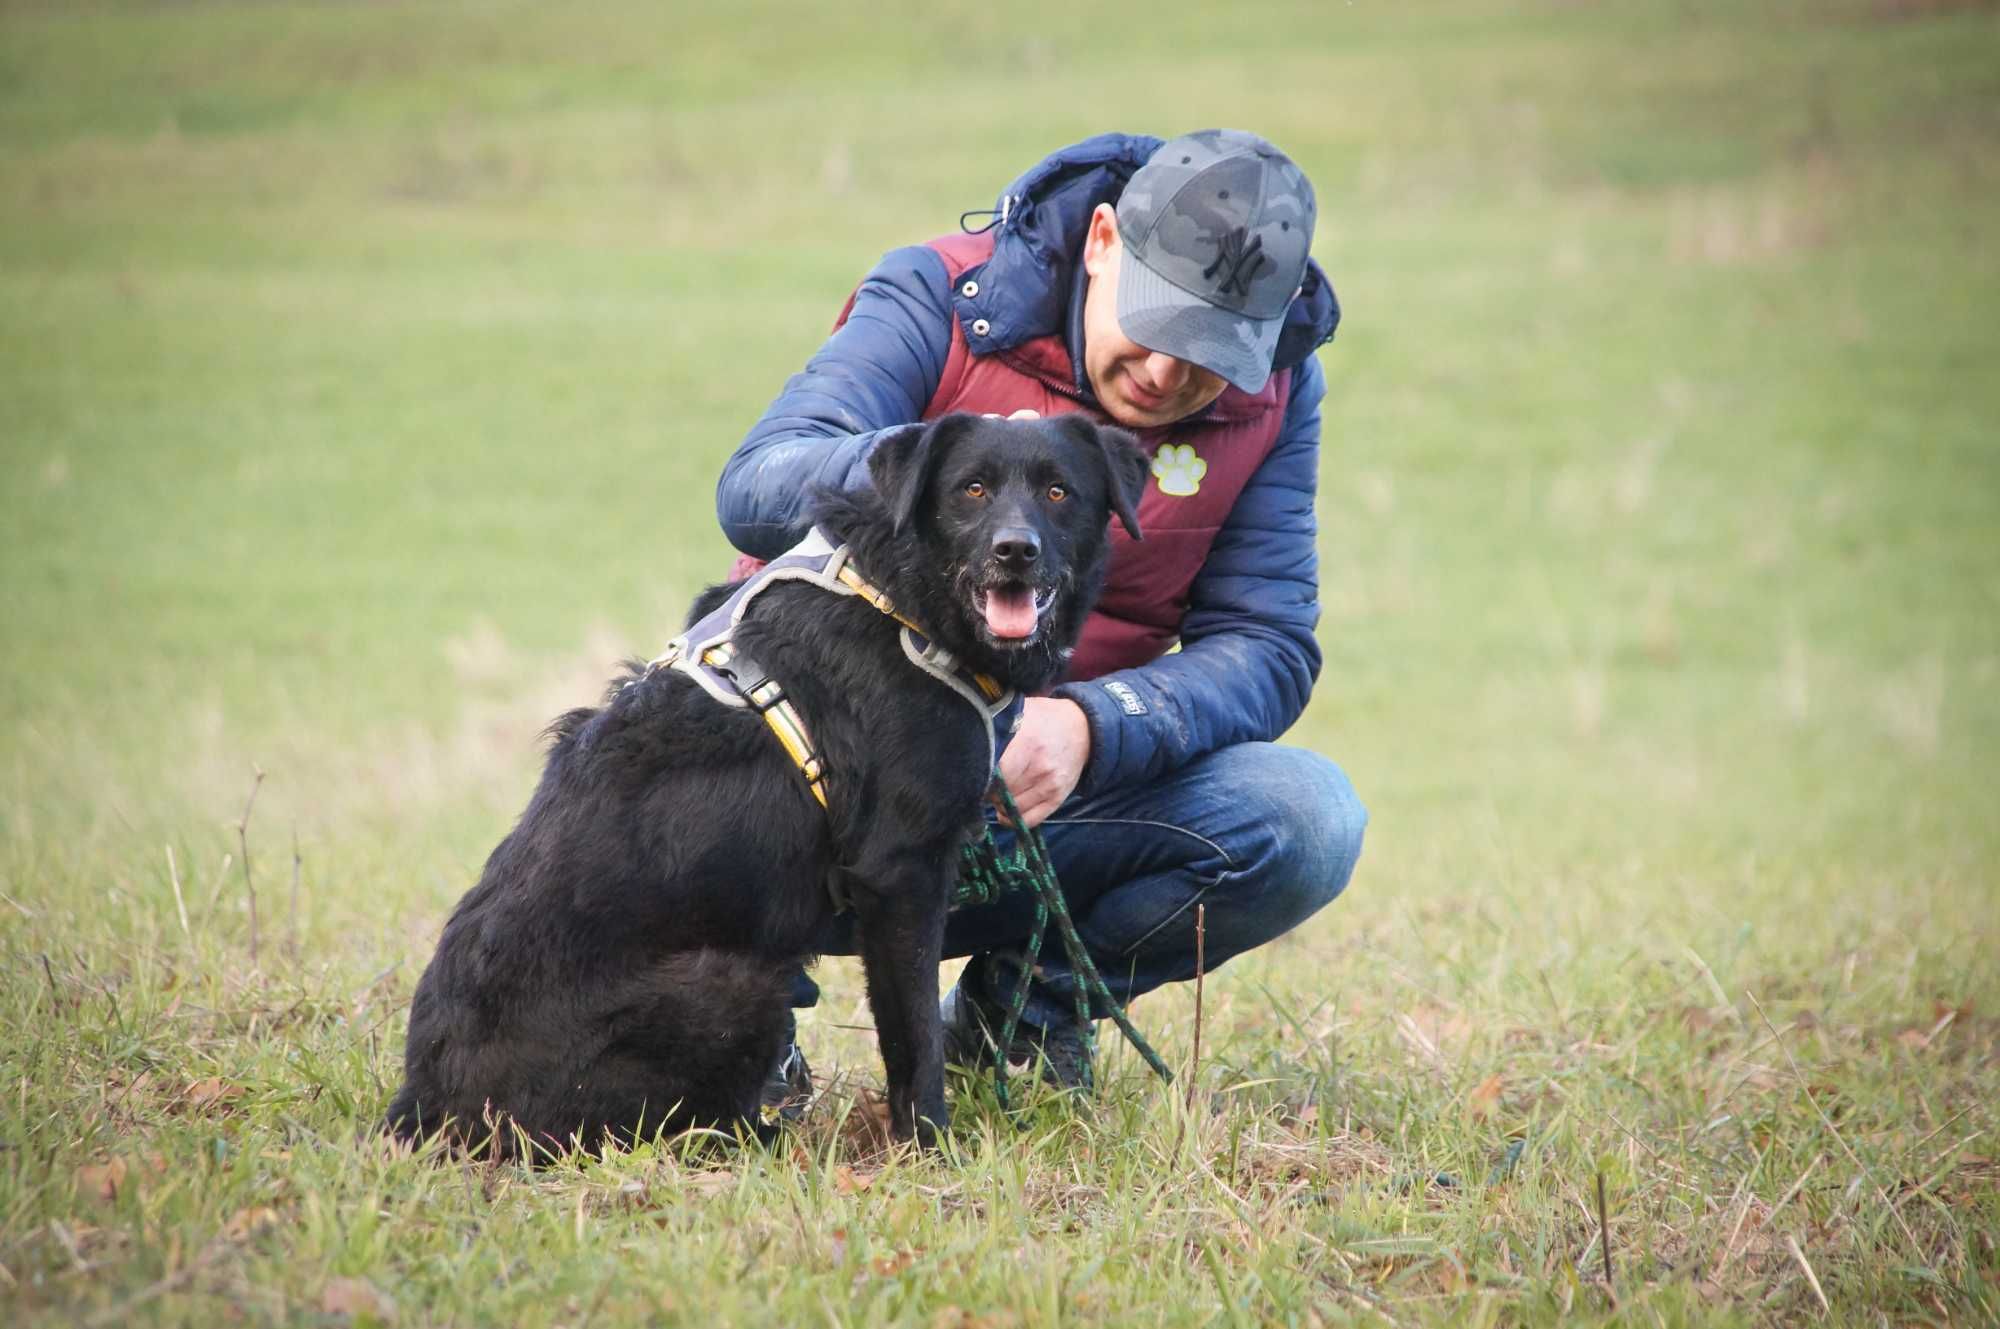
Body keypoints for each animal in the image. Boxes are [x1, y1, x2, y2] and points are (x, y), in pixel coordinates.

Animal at [382, 412, 1152, 1152]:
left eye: (1059, 492)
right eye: (973, 489)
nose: (1015, 551)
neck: (904, 601)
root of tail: (421, 1106)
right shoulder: (900, 878)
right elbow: (914, 1041)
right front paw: (931, 1145)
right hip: (737, 982)